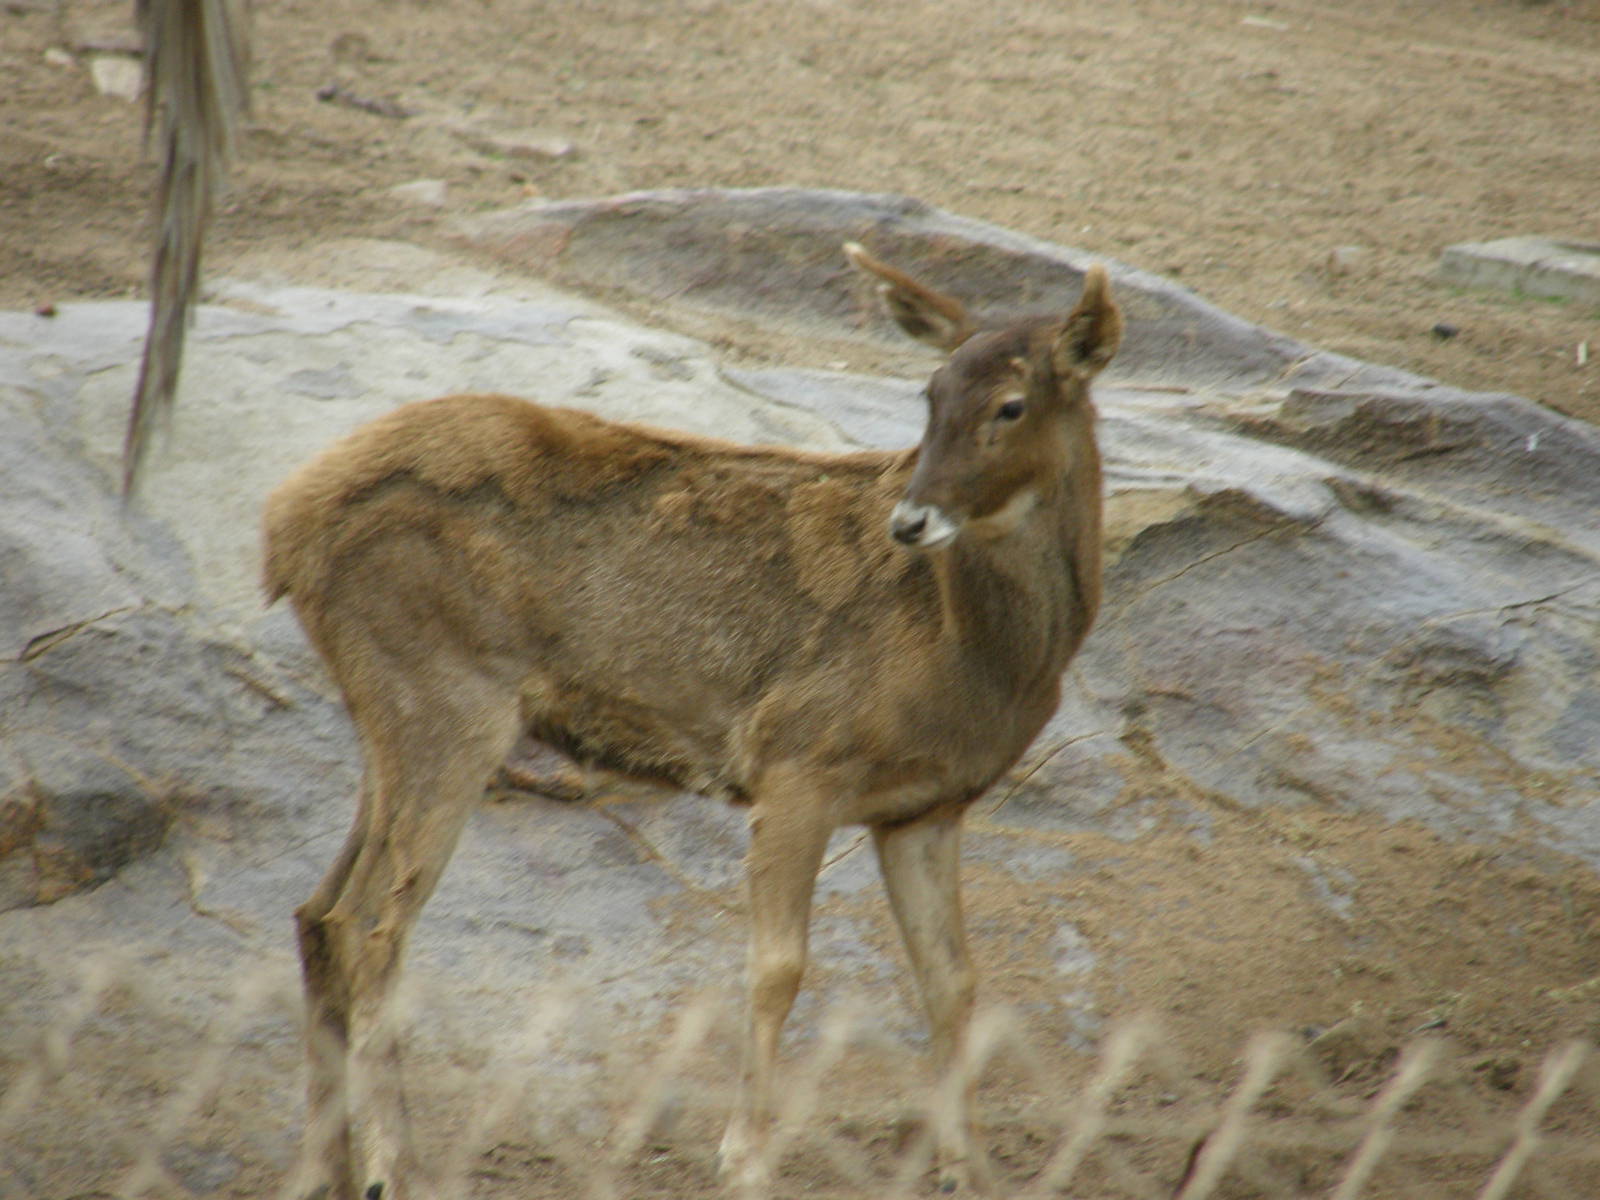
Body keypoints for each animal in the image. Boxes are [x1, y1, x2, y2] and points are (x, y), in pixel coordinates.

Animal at [262, 242, 1121, 1199]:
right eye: (928, 394)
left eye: (1010, 404)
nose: (910, 519)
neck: (974, 654)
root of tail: (284, 526)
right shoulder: (799, 757)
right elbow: (778, 968)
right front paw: (743, 1160)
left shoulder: (926, 806)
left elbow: (953, 981)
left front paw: (966, 1172)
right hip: (447, 698)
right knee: (372, 929)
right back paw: (393, 1167)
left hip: (391, 713)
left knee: (318, 912)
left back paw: (324, 1169)